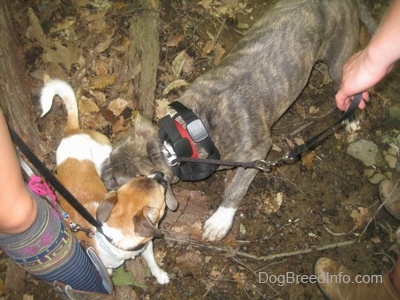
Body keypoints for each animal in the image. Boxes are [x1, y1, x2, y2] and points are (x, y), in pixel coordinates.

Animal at [39, 79, 176, 284]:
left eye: (141, 177)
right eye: (160, 203)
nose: (158, 174)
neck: (112, 236)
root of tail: (72, 131)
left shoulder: (146, 246)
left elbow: (152, 262)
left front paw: (159, 275)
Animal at [101, 0, 376, 240]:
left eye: (119, 185)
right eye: (111, 153)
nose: (102, 175)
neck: (181, 139)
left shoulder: (258, 151)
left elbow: (237, 188)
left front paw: (221, 219)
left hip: (339, 62)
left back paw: (352, 115)